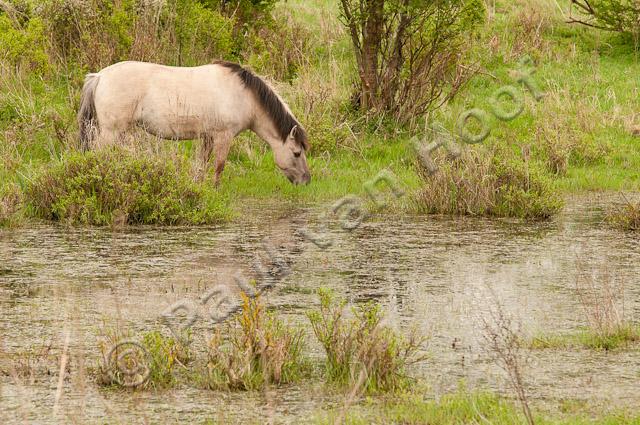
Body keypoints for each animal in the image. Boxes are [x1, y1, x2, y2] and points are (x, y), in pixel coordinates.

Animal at [76, 59, 312, 184]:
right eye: (296, 153)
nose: (306, 180)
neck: (244, 96)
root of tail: (100, 76)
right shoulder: (223, 136)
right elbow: (219, 166)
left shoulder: (207, 137)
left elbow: (202, 165)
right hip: (110, 132)